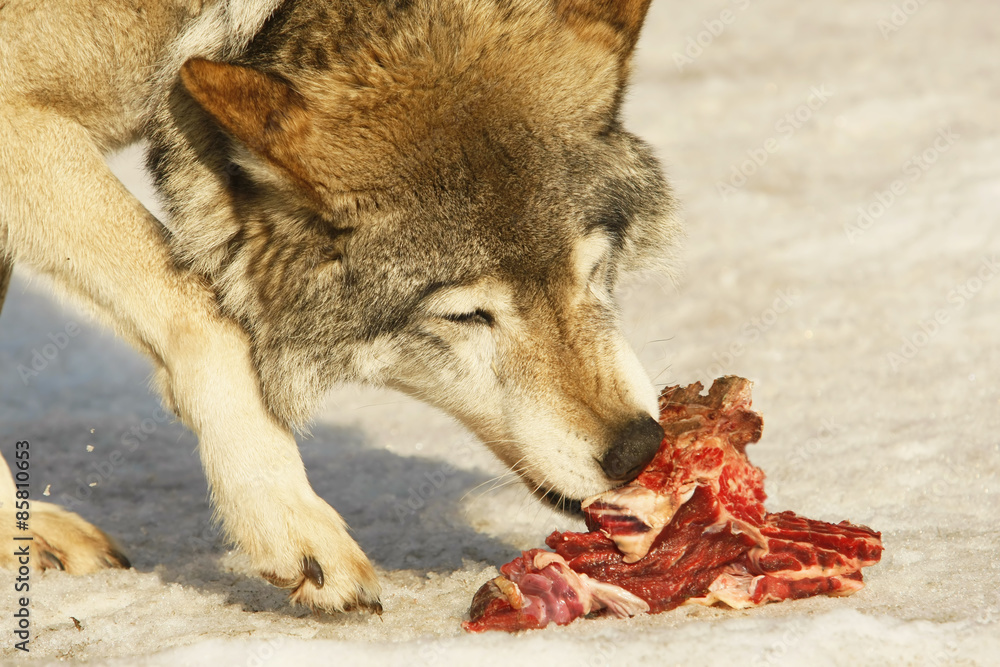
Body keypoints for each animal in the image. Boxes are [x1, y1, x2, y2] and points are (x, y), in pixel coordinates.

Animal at [0, 0, 679, 612]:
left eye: (593, 270)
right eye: (466, 316)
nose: (637, 450)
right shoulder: (18, 119)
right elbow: (210, 316)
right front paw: (290, 521)